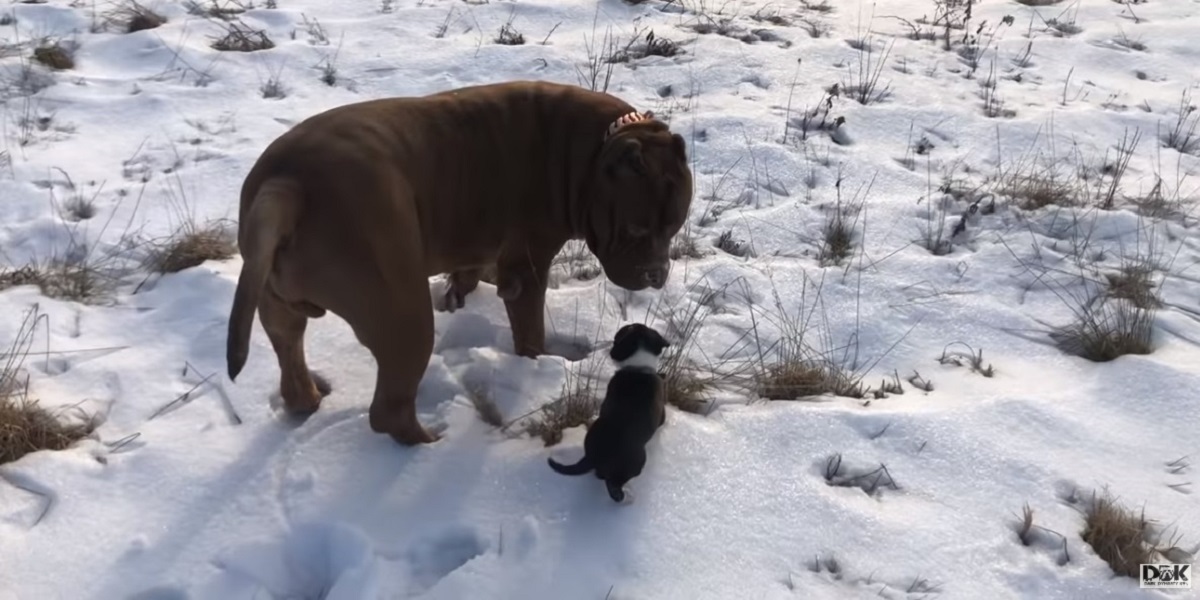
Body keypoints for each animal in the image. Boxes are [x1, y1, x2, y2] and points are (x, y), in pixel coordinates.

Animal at [225, 79, 696, 446]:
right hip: (403, 316)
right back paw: (429, 443)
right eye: (635, 229)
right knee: (389, 411)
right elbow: (530, 332)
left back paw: (308, 399)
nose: (657, 275)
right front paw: (534, 361)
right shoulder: (525, 270)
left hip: (278, 306)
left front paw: (459, 293)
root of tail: (287, 184)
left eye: (673, 228)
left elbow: (467, 271)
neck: (589, 154)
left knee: (290, 355)